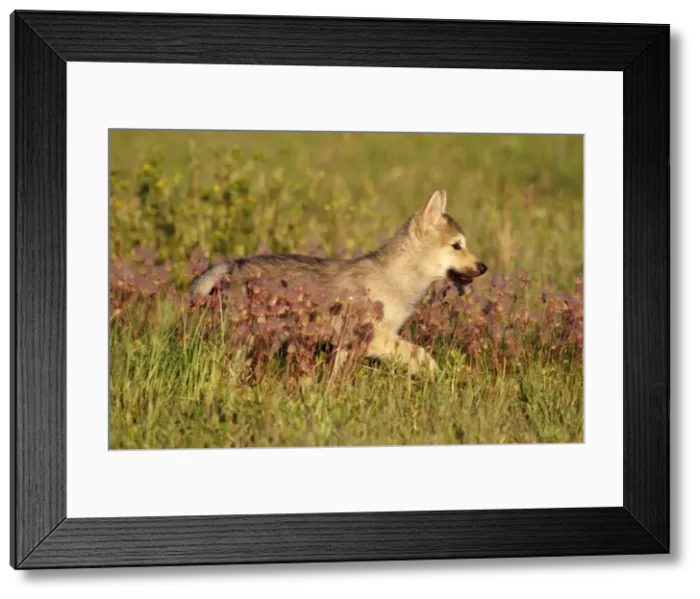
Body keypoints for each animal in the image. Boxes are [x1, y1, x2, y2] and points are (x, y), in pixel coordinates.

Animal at [190, 189, 487, 377]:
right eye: (457, 246)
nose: (484, 267)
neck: (397, 277)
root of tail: (235, 264)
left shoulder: (348, 345)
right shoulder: (375, 337)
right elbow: (422, 355)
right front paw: (437, 377)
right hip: (244, 338)